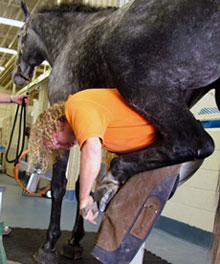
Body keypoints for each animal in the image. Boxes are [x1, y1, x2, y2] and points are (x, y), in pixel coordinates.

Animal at [12, 0, 220, 262]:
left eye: (20, 34)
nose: (18, 77)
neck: (70, 37)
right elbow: (81, 184)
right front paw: (74, 241)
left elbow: (60, 185)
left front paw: (49, 245)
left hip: (145, 87)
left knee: (197, 143)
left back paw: (113, 180)